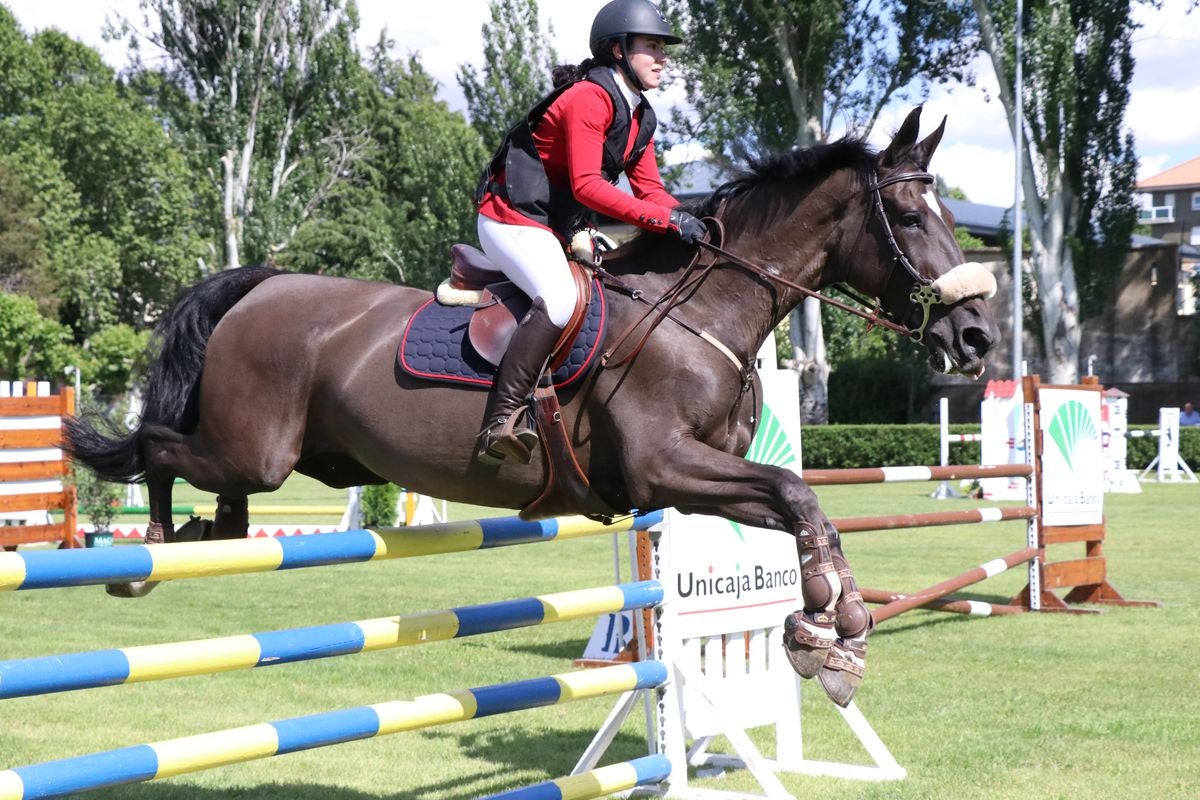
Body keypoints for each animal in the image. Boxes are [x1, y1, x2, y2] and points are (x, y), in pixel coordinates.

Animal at [70, 107, 998, 705]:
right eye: (909, 214)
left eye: (953, 212)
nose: (978, 336)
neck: (702, 311)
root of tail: (262, 285)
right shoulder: (667, 467)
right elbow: (801, 494)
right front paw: (829, 625)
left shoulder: (690, 480)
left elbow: (804, 508)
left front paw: (831, 631)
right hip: (253, 449)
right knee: (156, 447)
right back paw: (147, 550)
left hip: (291, 457)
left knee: (216, 490)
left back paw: (206, 535)